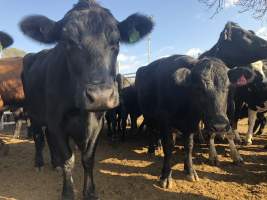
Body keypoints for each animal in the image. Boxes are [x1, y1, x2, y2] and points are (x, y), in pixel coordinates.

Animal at [19, 0, 154, 199]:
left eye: (116, 41)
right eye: (67, 41)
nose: (100, 96)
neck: (81, 113)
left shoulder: (98, 122)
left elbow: (88, 158)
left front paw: (90, 191)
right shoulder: (57, 121)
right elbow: (68, 159)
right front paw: (68, 192)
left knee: (48, 137)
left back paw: (55, 164)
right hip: (34, 112)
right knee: (38, 136)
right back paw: (40, 163)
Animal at [137, 55, 254, 189]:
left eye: (228, 87)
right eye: (199, 88)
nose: (219, 126)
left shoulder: (191, 124)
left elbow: (189, 146)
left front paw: (190, 171)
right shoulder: (166, 122)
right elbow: (169, 147)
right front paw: (165, 176)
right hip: (148, 114)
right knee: (151, 130)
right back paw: (151, 149)